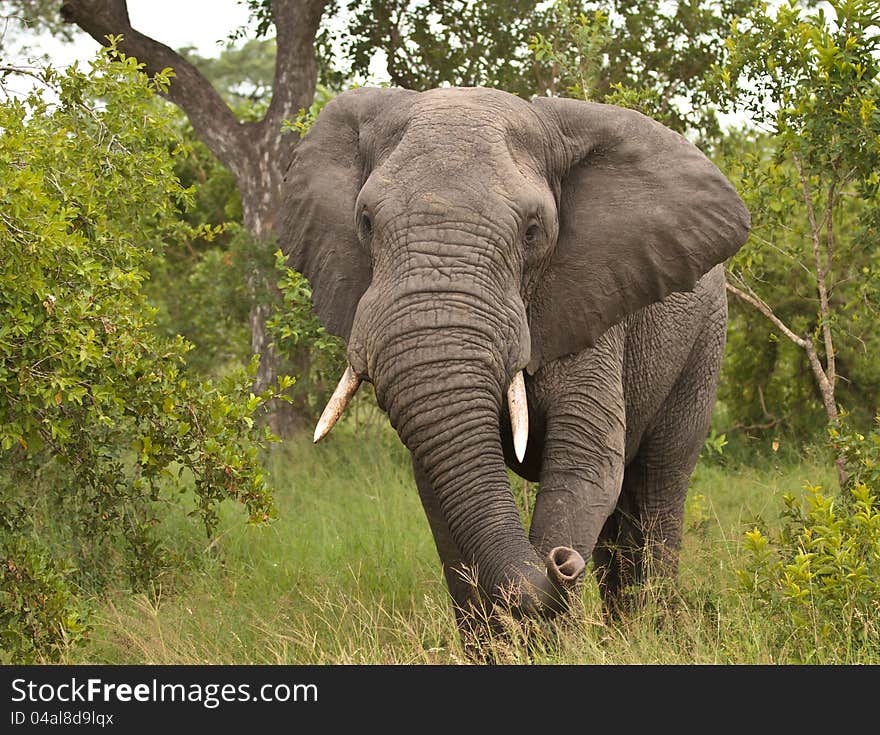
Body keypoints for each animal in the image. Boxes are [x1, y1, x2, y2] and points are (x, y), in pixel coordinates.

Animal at [280, 85, 748, 640]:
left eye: (532, 230)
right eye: (365, 222)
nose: (562, 562)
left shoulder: (592, 305)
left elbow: (586, 465)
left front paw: (551, 637)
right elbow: (442, 496)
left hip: (704, 340)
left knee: (656, 485)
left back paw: (646, 630)